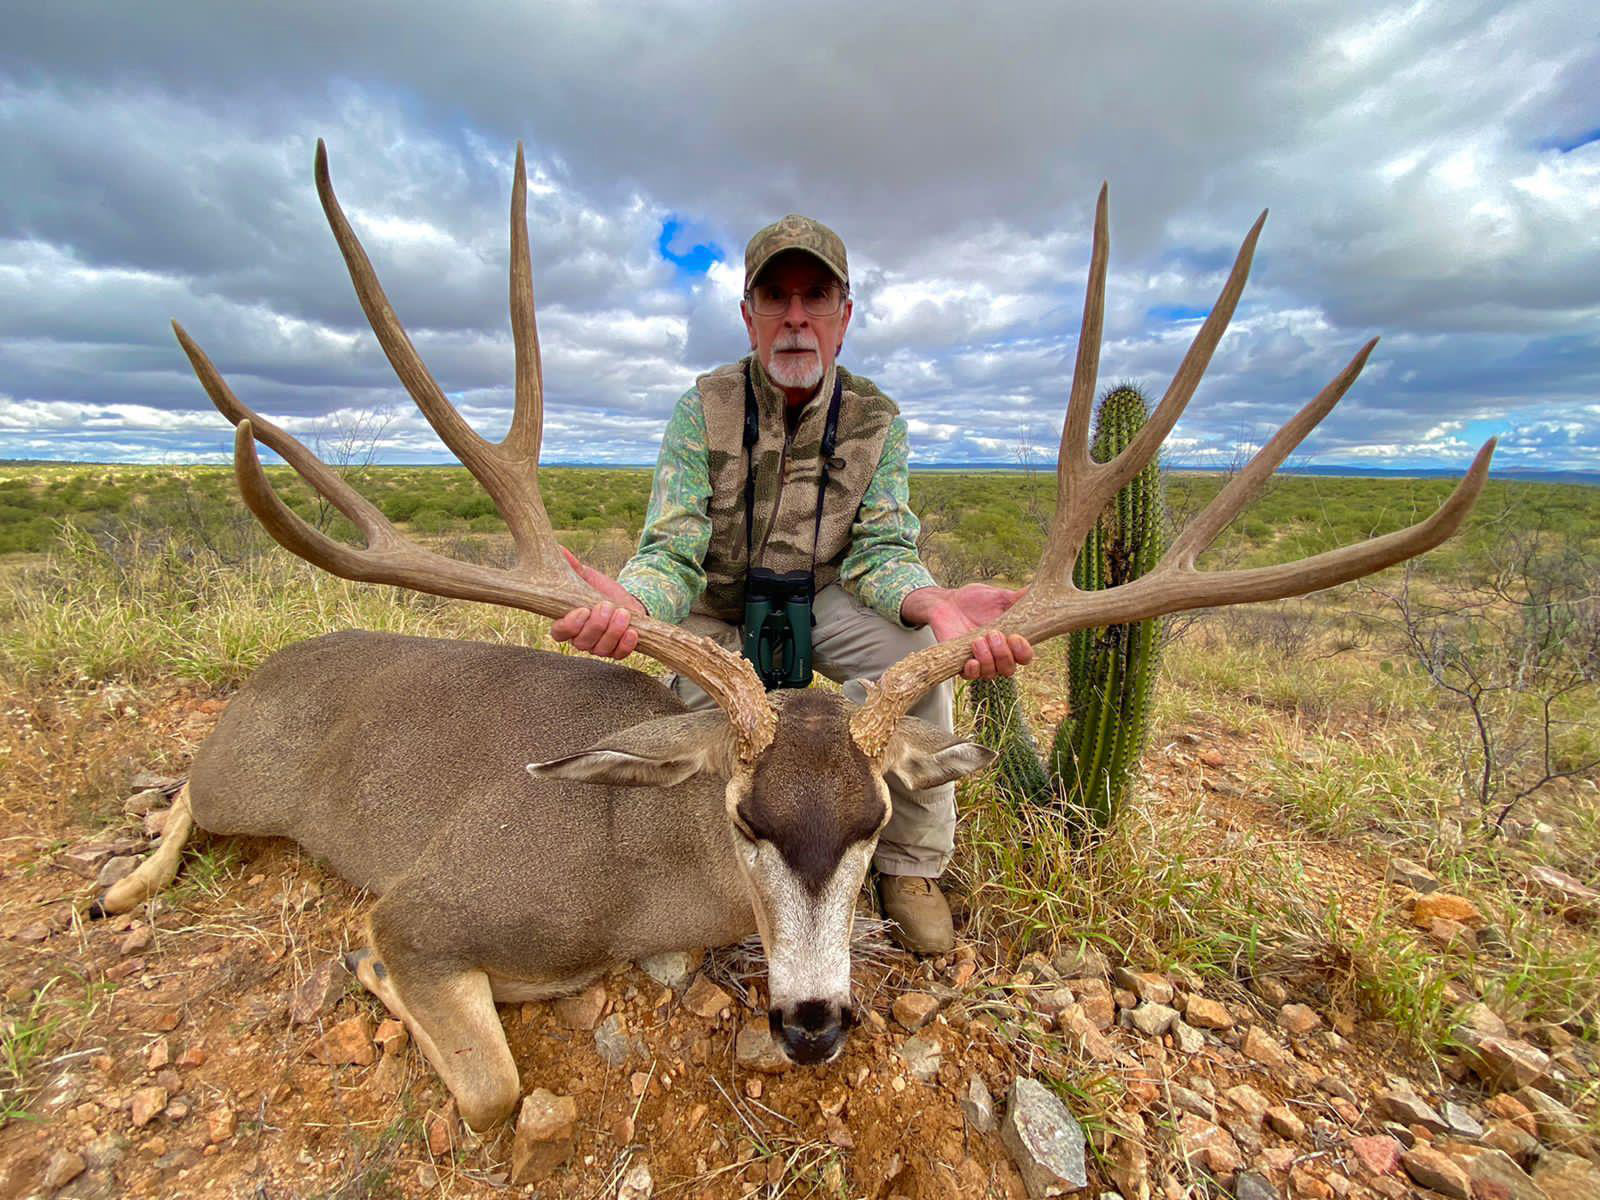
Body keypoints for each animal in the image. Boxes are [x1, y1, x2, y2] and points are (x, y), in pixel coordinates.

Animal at [101, 140, 1496, 1133]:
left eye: (875, 823)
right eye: (744, 817)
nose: (818, 1022)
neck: (636, 880)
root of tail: (276, 666)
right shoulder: (428, 904)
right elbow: (490, 1085)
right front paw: (373, 978)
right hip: (250, 781)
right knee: (185, 793)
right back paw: (122, 885)